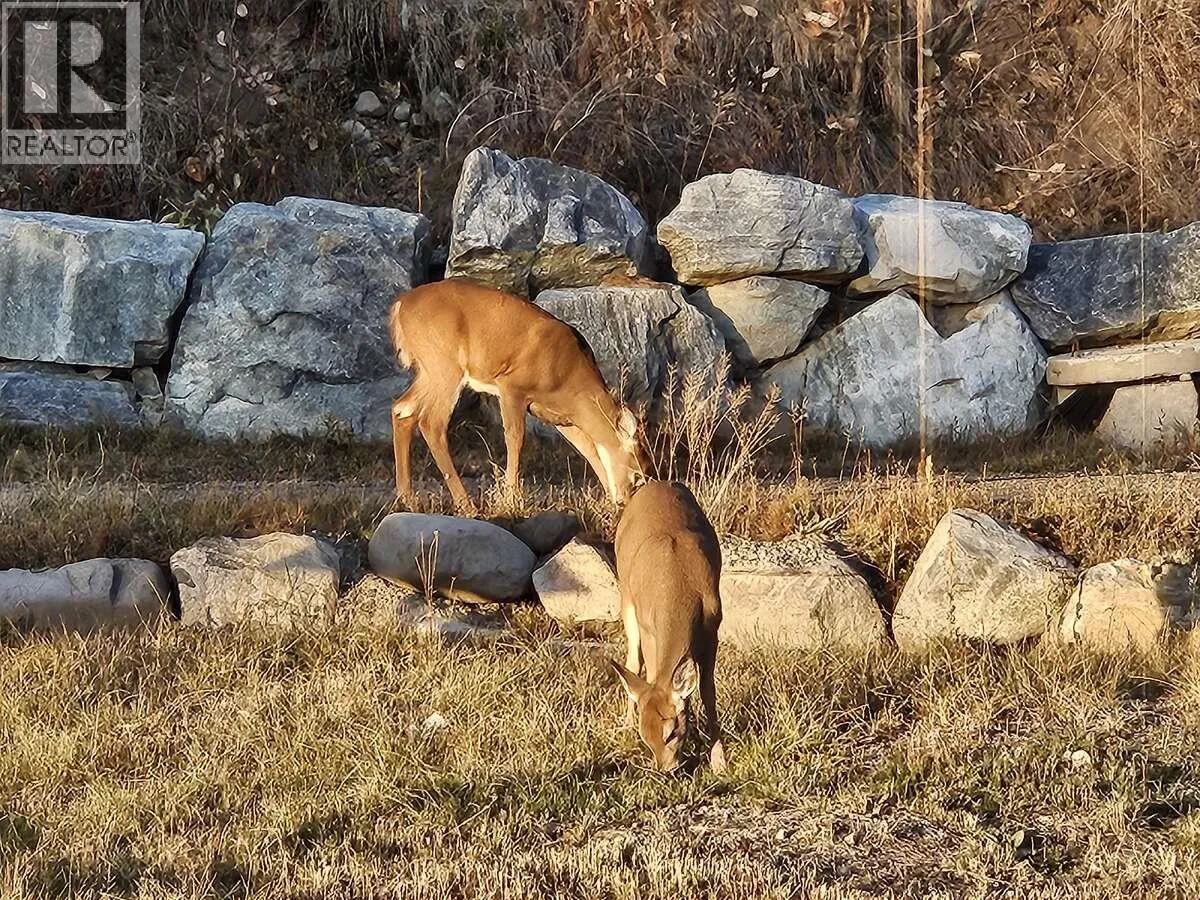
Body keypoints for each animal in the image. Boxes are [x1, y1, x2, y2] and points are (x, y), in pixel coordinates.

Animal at [387, 277, 651, 515]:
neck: (568, 374)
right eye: (637, 475)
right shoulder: (511, 386)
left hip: (428, 370)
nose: (624, 502)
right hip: (444, 365)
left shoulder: (560, 417)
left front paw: (606, 502)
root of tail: (400, 305)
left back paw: (406, 498)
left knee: (402, 409)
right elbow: (515, 438)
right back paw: (466, 506)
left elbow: (588, 448)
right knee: (431, 422)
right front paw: (511, 499)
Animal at [608, 480, 727, 774]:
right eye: (645, 736)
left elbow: (707, 691)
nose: (666, 769)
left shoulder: (714, 626)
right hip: (627, 601)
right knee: (633, 661)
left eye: (671, 732)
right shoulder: (648, 626)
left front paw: (718, 759)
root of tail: (655, 483)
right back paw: (624, 722)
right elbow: (651, 673)